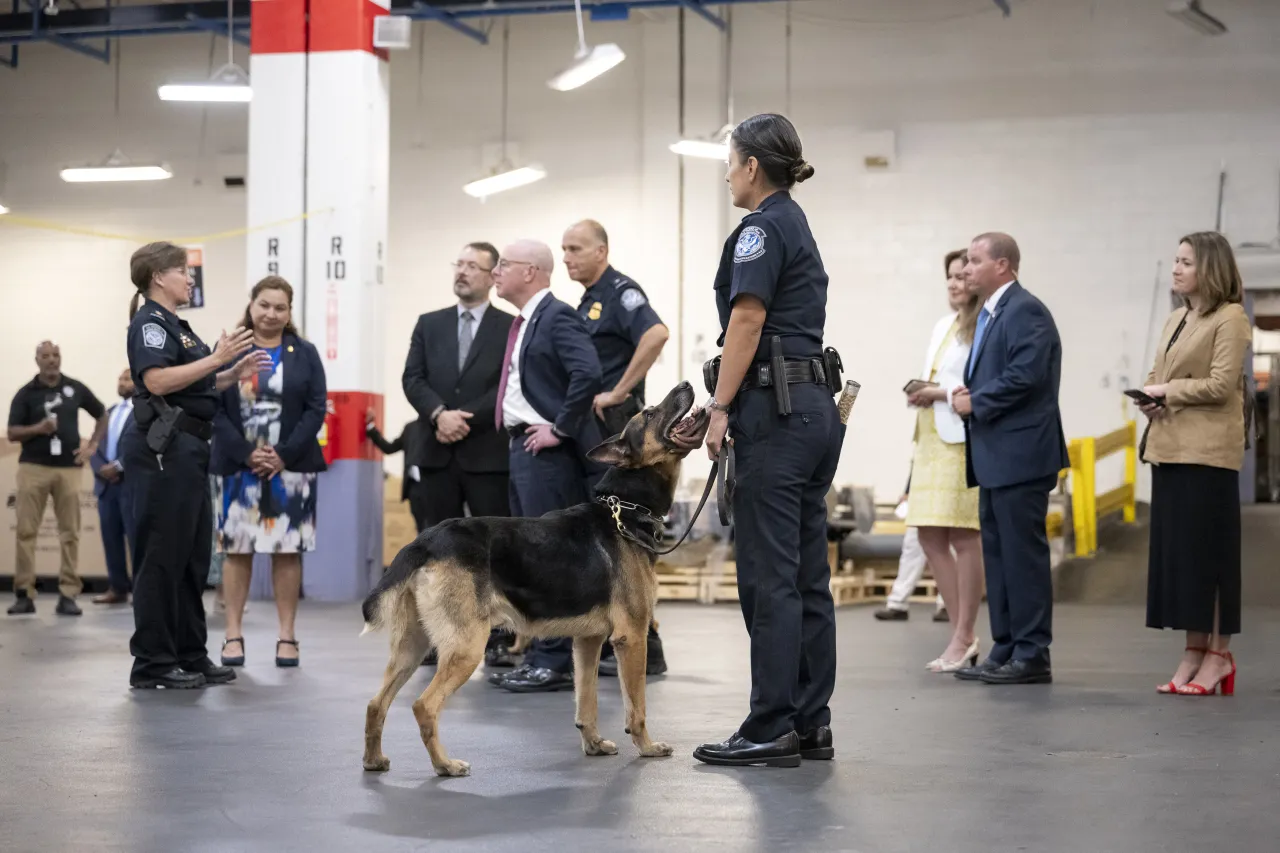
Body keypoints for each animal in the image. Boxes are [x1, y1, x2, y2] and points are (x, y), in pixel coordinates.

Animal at [360, 381, 711, 773]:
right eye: (649, 414)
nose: (686, 384)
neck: (624, 508)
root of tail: (426, 541)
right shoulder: (631, 638)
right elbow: (637, 707)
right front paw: (647, 747)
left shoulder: (587, 642)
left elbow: (586, 701)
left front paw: (592, 744)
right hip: (466, 647)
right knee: (424, 706)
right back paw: (445, 765)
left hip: (413, 646)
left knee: (375, 704)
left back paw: (374, 760)